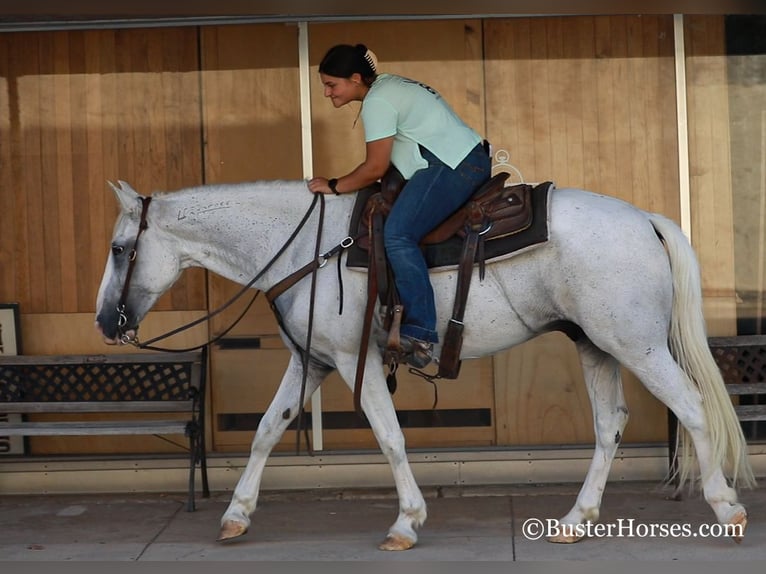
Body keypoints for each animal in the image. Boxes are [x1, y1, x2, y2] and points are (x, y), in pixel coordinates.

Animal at [94, 179, 756, 548]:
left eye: (120, 249)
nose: (105, 321)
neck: (310, 247)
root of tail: (646, 219)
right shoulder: (310, 362)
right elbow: (265, 431)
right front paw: (236, 516)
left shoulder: (350, 360)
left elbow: (390, 438)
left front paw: (407, 522)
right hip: (596, 344)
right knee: (609, 425)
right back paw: (576, 517)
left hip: (637, 345)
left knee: (692, 408)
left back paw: (726, 508)